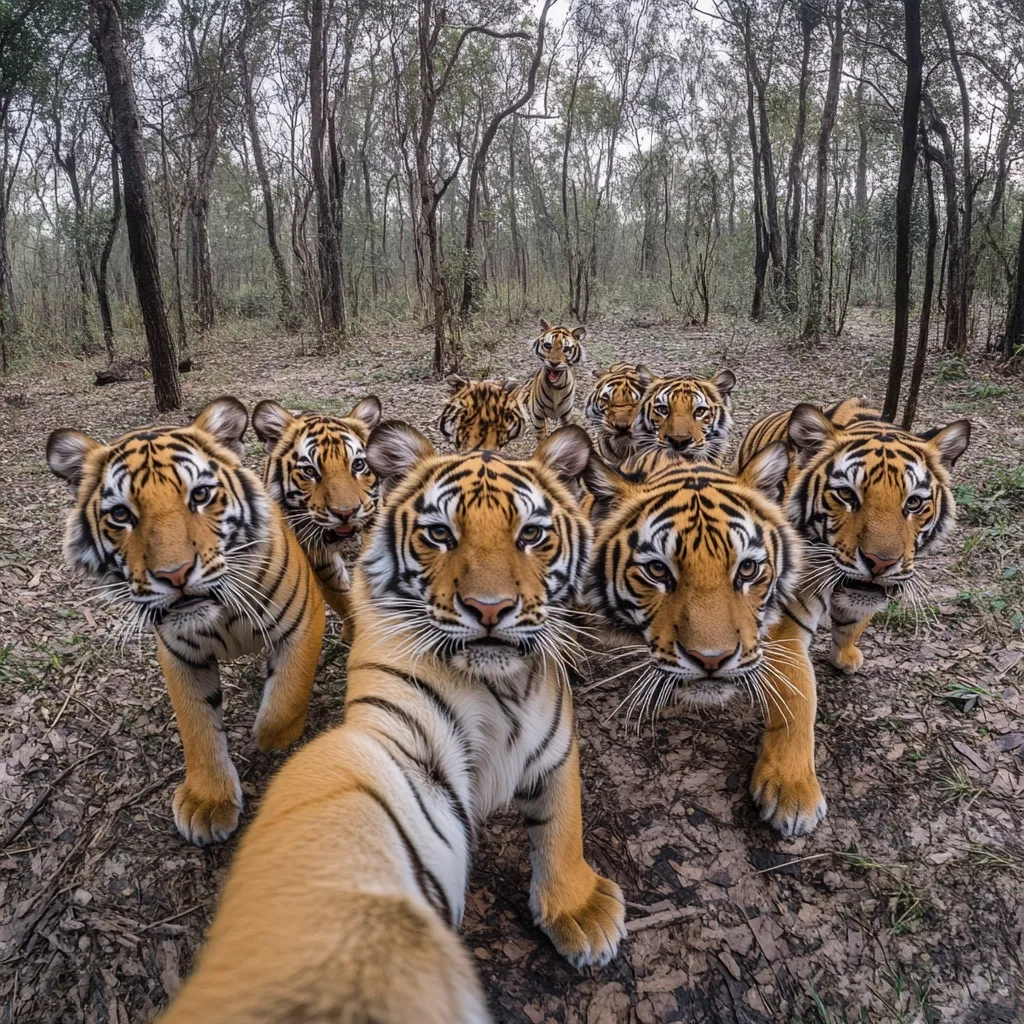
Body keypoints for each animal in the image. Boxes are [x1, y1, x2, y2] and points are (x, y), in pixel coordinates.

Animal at [46, 397, 325, 846]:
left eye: (201, 495)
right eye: (120, 514)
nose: (174, 574)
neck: (222, 615)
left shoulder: (303, 620)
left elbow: (285, 700)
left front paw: (270, 740)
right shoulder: (180, 655)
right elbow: (196, 725)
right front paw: (208, 802)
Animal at [158, 422, 626, 1024]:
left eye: (531, 535)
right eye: (439, 534)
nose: (490, 608)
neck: (496, 685)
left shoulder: (557, 745)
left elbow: (564, 823)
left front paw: (579, 909)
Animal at [731, 399, 971, 834]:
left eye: (914, 502)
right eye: (846, 495)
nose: (881, 562)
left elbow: (854, 622)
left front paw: (846, 655)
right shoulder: (785, 623)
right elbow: (798, 698)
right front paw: (792, 791)